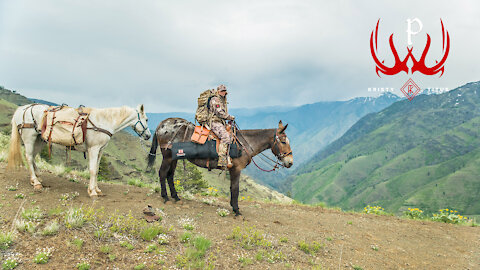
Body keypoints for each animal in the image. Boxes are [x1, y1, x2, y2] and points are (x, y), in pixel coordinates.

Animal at [6, 103, 150, 196]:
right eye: (147, 119)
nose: (148, 136)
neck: (103, 121)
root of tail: (22, 109)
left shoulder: (100, 150)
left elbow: (96, 170)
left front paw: (97, 189)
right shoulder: (93, 149)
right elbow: (92, 170)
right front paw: (92, 192)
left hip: (40, 140)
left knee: (33, 157)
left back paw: (36, 178)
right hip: (29, 138)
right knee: (29, 157)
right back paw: (36, 182)